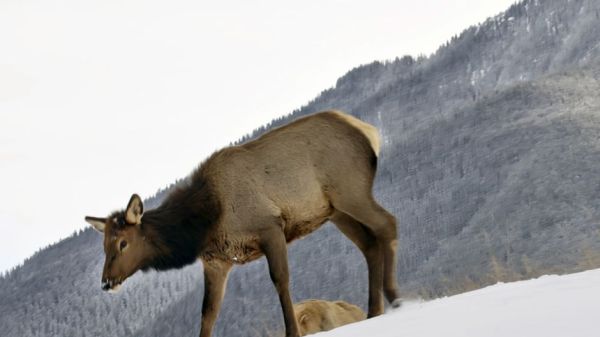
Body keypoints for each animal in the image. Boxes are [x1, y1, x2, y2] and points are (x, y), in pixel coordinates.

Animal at [84, 110, 400, 336]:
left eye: (123, 243)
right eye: (104, 245)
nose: (106, 283)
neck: (206, 220)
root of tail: (368, 131)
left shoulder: (270, 227)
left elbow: (280, 280)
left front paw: (292, 331)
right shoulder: (217, 261)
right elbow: (208, 311)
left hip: (350, 191)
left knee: (387, 223)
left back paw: (395, 297)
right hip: (336, 211)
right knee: (370, 245)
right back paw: (374, 310)